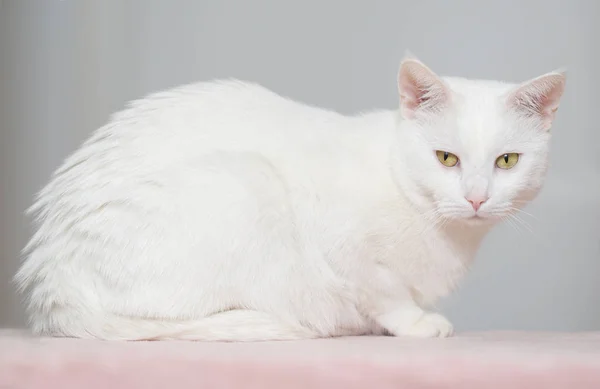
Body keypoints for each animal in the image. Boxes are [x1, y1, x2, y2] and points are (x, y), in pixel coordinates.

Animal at [15, 54, 568, 340]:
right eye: (446, 158)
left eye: (507, 162)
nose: (476, 198)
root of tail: (52, 285)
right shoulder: (343, 248)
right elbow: (383, 291)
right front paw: (414, 323)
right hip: (246, 183)